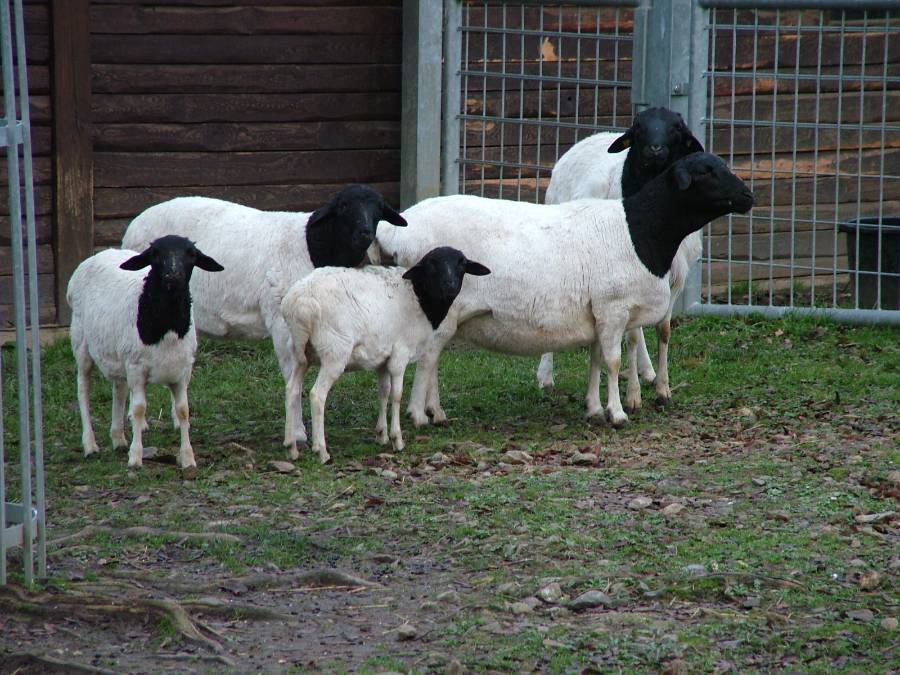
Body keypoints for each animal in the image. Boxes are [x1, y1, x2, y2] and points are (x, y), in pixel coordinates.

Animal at [67, 235, 225, 468]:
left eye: (191, 254)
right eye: (155, 254)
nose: (173, 275)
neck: (166, 327)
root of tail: (101, 253)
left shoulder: (182, 371)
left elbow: (183, 411)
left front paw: (188, 458)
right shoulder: (136, 368)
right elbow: (139, 409)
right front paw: (135, 457)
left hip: (119, 355)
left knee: (119, 389)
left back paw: (118, 438)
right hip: (81, 343)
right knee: (83, 389)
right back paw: (90, 444)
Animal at [122, 185, 408, 460]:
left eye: (379, 208)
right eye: (345, 206)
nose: (365, 233)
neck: (313, 245)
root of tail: (135, 223)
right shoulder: (281, 323)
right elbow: (292, 377)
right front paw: (298, 432)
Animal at [282, 247, 492, 464]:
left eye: (462, 263)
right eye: (432, 264)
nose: (450, 285)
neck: (419, 298)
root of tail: (300, 304)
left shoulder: (382, 359)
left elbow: (383, 392)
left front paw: (381, 435)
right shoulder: (400, 354)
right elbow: (397, 394)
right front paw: (396, 439)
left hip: (300, 352)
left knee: (292, 389)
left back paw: (291, 447)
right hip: (334, 352)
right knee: (317, 395)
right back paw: (321, 451)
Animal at [376, 153, 756, 428]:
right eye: (706, 171)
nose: (748, 195)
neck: (640, 231)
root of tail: (394, 231)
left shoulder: (597, 312)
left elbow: (597, 359)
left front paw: (594, 408)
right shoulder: (613, 307)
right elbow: (614, 361)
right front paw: (618, 414)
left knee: (433, 358)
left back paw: (435, 412)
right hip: (439, 305)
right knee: (428, 358)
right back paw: (419, 415)